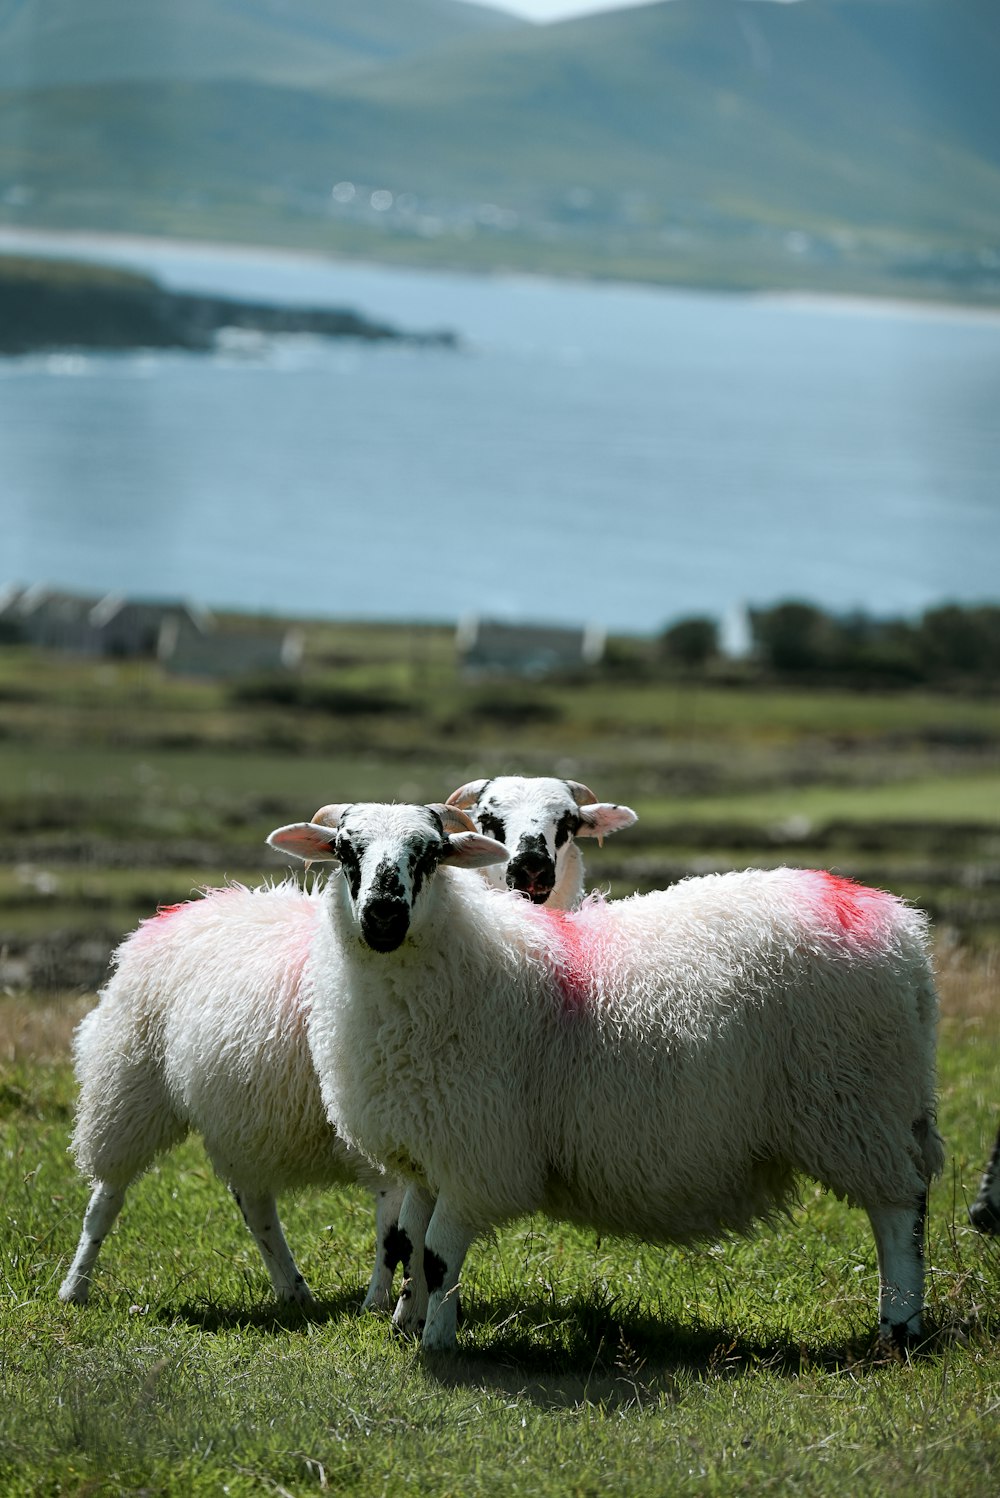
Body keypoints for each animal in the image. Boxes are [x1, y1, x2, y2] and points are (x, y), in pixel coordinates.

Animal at [60, 778, 631, 1306]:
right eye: (490, 819)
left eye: (567, 823)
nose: (531, 869)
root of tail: (189, 905)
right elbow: (399, 1230)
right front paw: (382, 1305)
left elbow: (407, 1225)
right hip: (129, 1083)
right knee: (105, 1196)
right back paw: (74, 1287)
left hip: (242, 1117)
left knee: (253, 1200)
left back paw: (293, 1291)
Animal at [264, 808, 946, 1360]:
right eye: (344, 851)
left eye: (431, 854)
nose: (383, 914)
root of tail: (895, 925)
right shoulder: (429, 1142)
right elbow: (408, 1241)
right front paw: (405, 1321)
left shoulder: (481, 1151)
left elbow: (437, 1251)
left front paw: (437, 1343)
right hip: (880, 1104)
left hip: (855, 1103)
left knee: (899, 1209)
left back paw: (900, 1326)